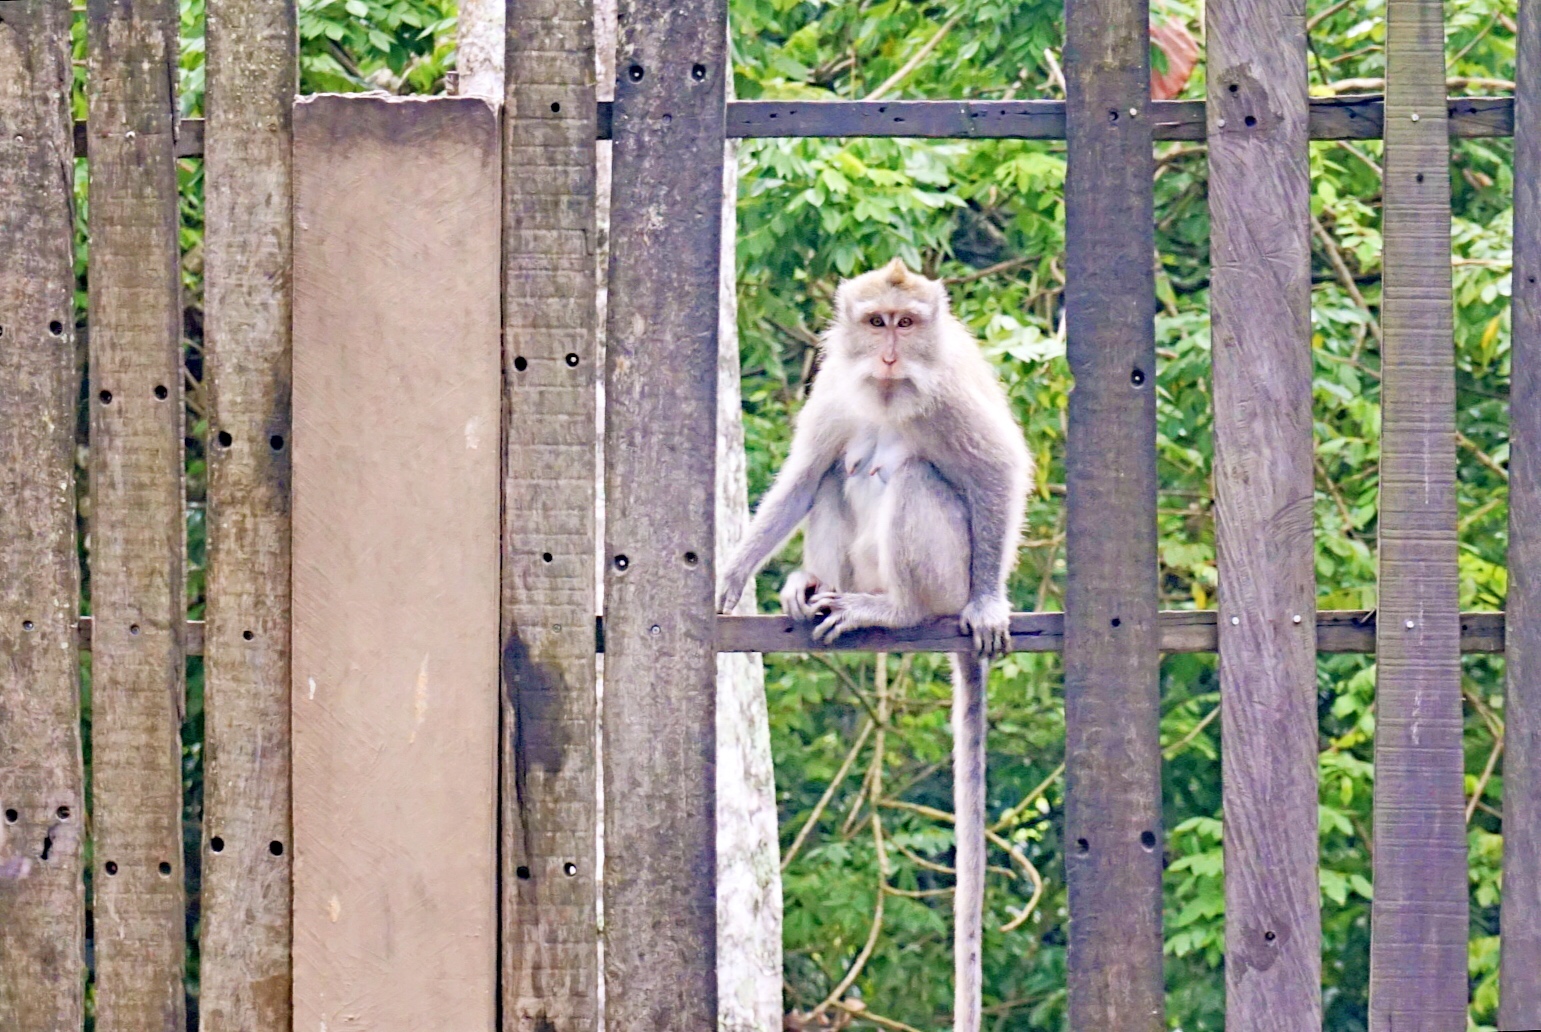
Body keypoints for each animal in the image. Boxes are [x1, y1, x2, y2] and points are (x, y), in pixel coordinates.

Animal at [715, 258, 1029, 1032]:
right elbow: (804, 474)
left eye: (907, 324)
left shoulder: (950, 389)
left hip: (943, 573)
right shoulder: (834, 384)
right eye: (877, 321)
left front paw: (990, 602)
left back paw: (895, 607)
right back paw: (814, 587)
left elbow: (999, 470)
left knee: (916, 476)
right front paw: (734, 571)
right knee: (836, 472)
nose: (888, 353)